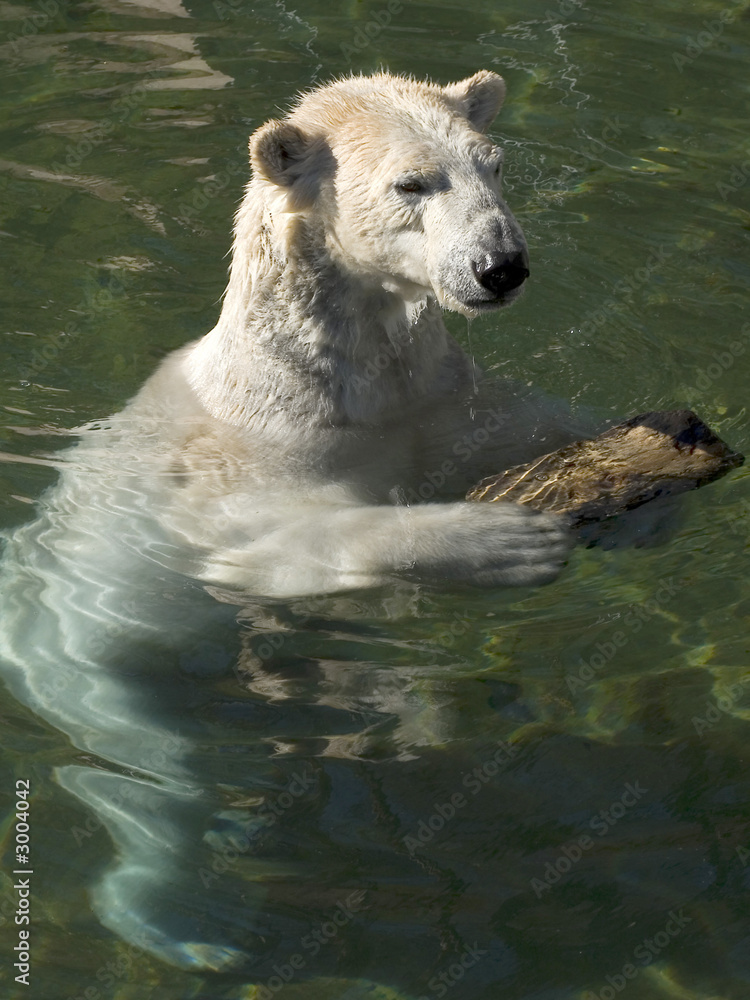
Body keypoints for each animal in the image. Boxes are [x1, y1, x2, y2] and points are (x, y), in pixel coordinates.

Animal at [0, 71, 586, 978]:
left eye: (493, 165)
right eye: (412, 183)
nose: (501, 266)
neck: (324, 379)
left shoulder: (435, 400)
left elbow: (521, 423)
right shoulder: (257, 453)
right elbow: (284, 540)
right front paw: (502, 541)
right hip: (71, 642)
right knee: (148, 766)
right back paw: (182, 915)